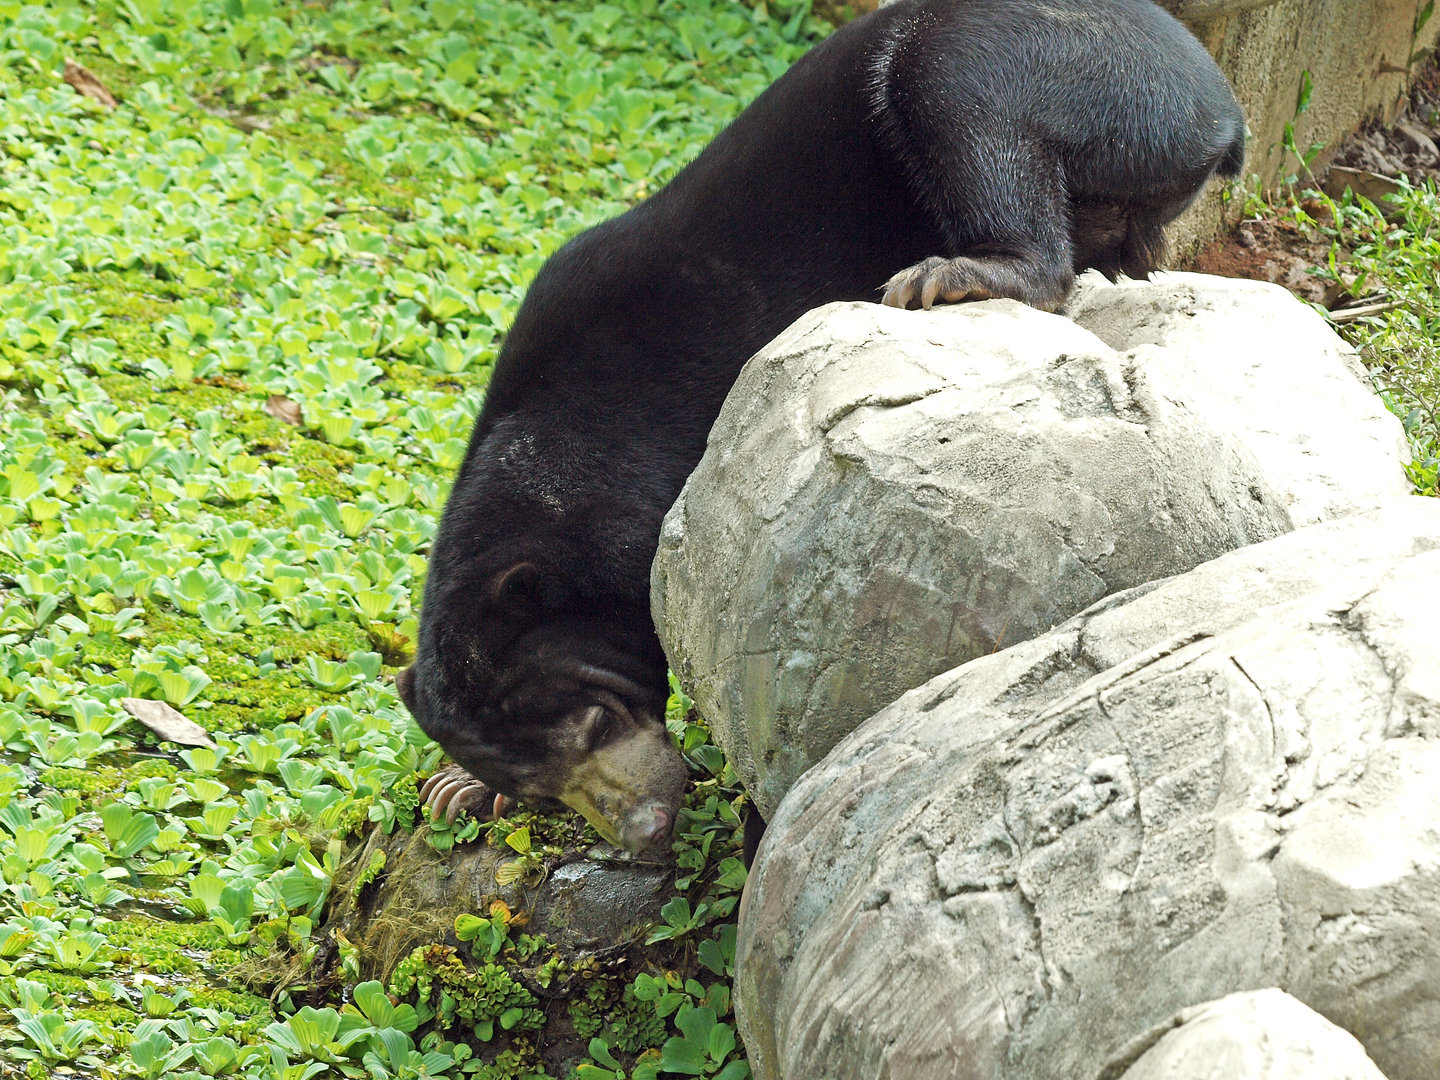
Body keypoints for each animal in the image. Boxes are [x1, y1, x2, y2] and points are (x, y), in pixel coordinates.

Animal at [396, 0, 1246, 853]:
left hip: (1043, 62)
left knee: (967, 109)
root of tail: (1218, 104)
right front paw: (454, 788)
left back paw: (950, 275)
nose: (646, 828)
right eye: (542, 785)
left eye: (594, 724)